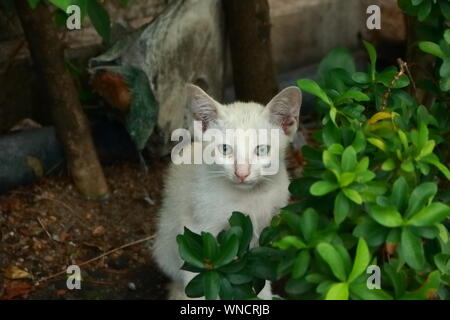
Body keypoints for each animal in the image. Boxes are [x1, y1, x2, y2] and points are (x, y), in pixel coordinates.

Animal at [152, 84, 302, 298]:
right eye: (225, 149)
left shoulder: (265, 233)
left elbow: (261, 270)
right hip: (166, 243)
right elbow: (199, 275)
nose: (242, 173)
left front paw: (264, 296)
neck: (247, 198)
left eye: (262, 150)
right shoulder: (195, 233)